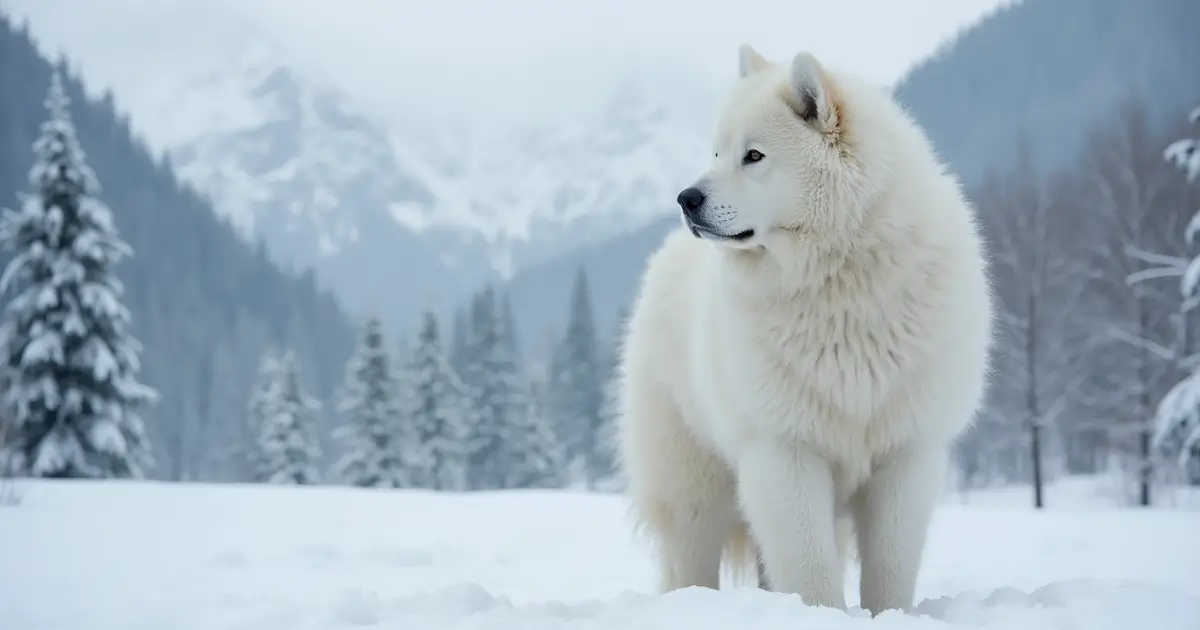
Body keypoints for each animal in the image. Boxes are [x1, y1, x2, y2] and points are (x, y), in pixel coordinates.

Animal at [619, 46, 993, 614]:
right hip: (692, 480)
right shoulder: (784, 451)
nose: (686, 199)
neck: (837, 276)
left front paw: (888, 615)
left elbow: (890, 567)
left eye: (753, 155)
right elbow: (811, 570)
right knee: (691, 553)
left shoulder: (906, 451)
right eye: (716, 153)